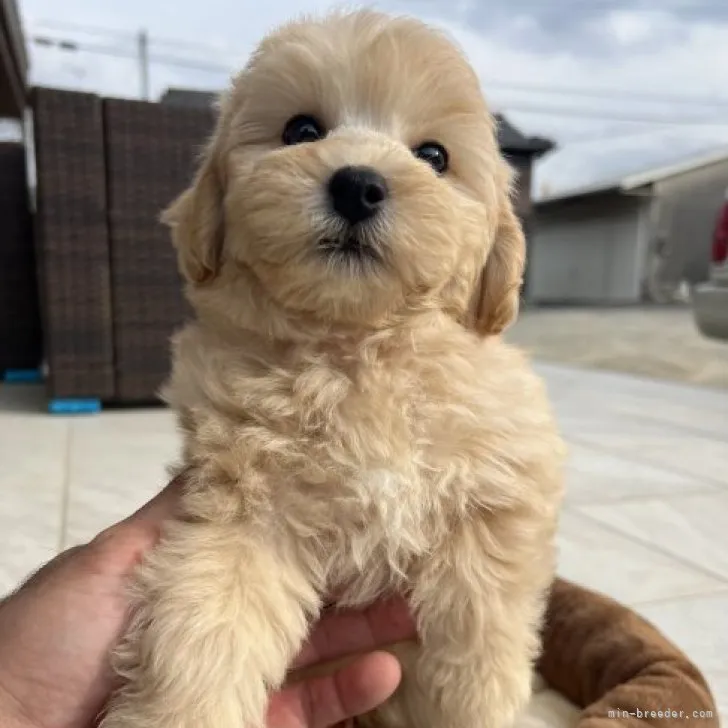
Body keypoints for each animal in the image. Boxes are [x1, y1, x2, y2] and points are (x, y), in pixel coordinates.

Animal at [102, 9, 564, 728]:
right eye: (301, 130)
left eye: (435, 157)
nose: (359, 184)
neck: (358, 350)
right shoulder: (246, 510)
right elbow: (206, 627)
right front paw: (182, 712)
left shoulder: (496, 492)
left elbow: (480, 631)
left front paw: (480, 707)